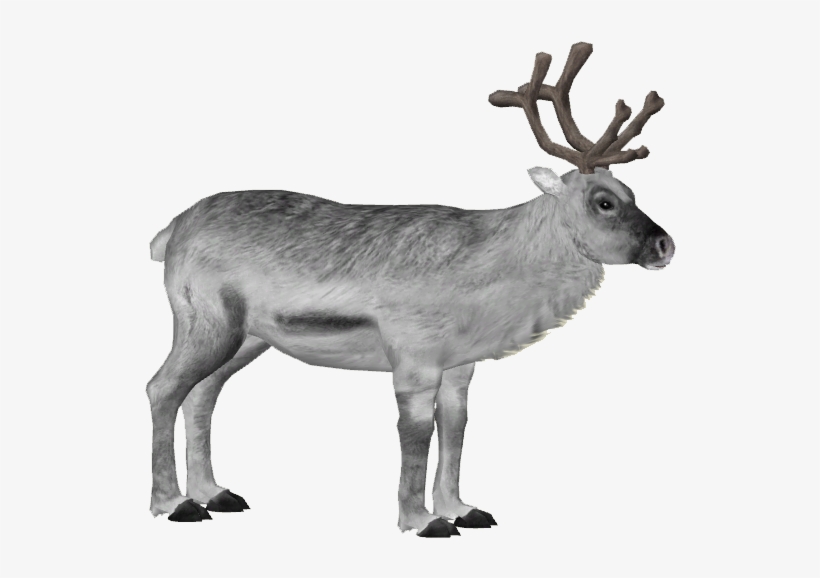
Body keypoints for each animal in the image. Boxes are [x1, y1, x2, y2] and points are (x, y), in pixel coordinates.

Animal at [146, 41, 674, 537]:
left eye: (632, 194)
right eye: (603, 201)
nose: (665, 244)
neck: (493, 284)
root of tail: (169, 232)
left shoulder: (461, 364)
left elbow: (456, 427)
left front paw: (461, 508)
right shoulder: (414, 354)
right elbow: (415, 435)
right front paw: (422, 520)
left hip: (248, 336)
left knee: (202, 392)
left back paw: (215, 493)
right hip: (205, 319)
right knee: (163, 387)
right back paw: (175, 503)